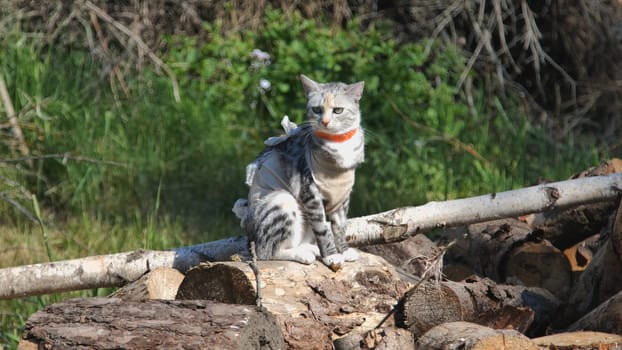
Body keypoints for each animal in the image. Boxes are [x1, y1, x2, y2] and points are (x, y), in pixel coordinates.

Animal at [234, 74, 366, 268]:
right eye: (317, 109)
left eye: (338, 110)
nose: (325, 121)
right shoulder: (311, 193)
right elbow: (323, 229)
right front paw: (332, 256)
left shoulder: (342, 197)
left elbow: (340, 226)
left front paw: (344, 250)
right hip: (282, 201)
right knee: (266, 251)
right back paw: (302, 255)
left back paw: (309, 249)